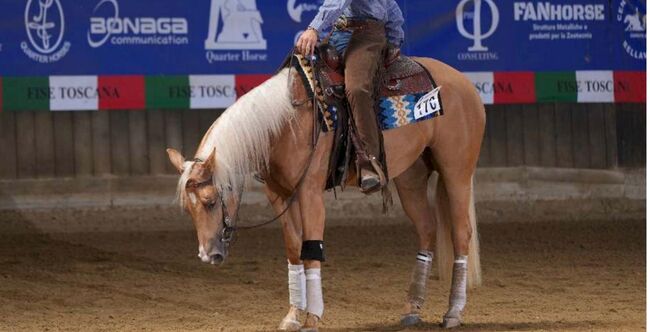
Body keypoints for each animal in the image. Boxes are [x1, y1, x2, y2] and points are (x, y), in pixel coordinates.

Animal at [165, 57, 484, 330]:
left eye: (210, 201)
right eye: (189, 209)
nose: (208, 255)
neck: (286, 123)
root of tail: (464, 83)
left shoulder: (310, 193)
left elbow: (311, 249)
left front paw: (313, 317)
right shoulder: (279, 194)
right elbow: (293, 249)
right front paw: (293, 315)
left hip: (456, 172)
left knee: (461, 233)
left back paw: (453, 312)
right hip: (411, 176)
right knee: (428, 229)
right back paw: (412, 308)